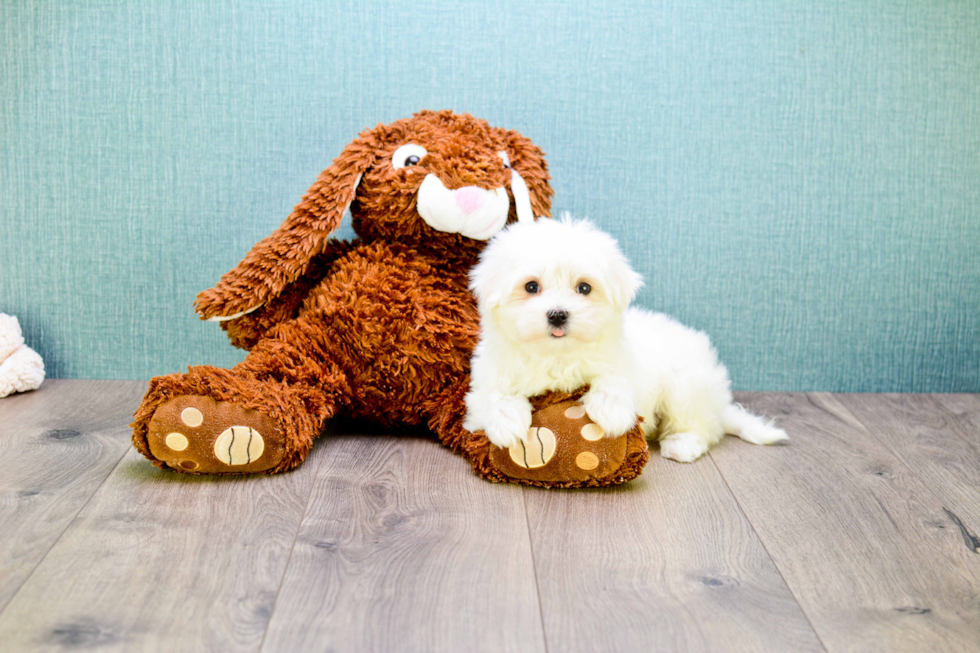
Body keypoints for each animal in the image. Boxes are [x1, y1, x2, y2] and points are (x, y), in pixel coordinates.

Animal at [464, 216, 792, 460]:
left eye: (584, 288)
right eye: (531, 287)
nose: (558, 314)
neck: (557, 355)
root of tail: (719, 401)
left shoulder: (623, 366)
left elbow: (614, 380)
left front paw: (611, 413)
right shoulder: (483, 385)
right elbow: (490, 398)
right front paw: (508, 423)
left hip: (685, 385)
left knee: (703, 426)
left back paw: (682, 444)